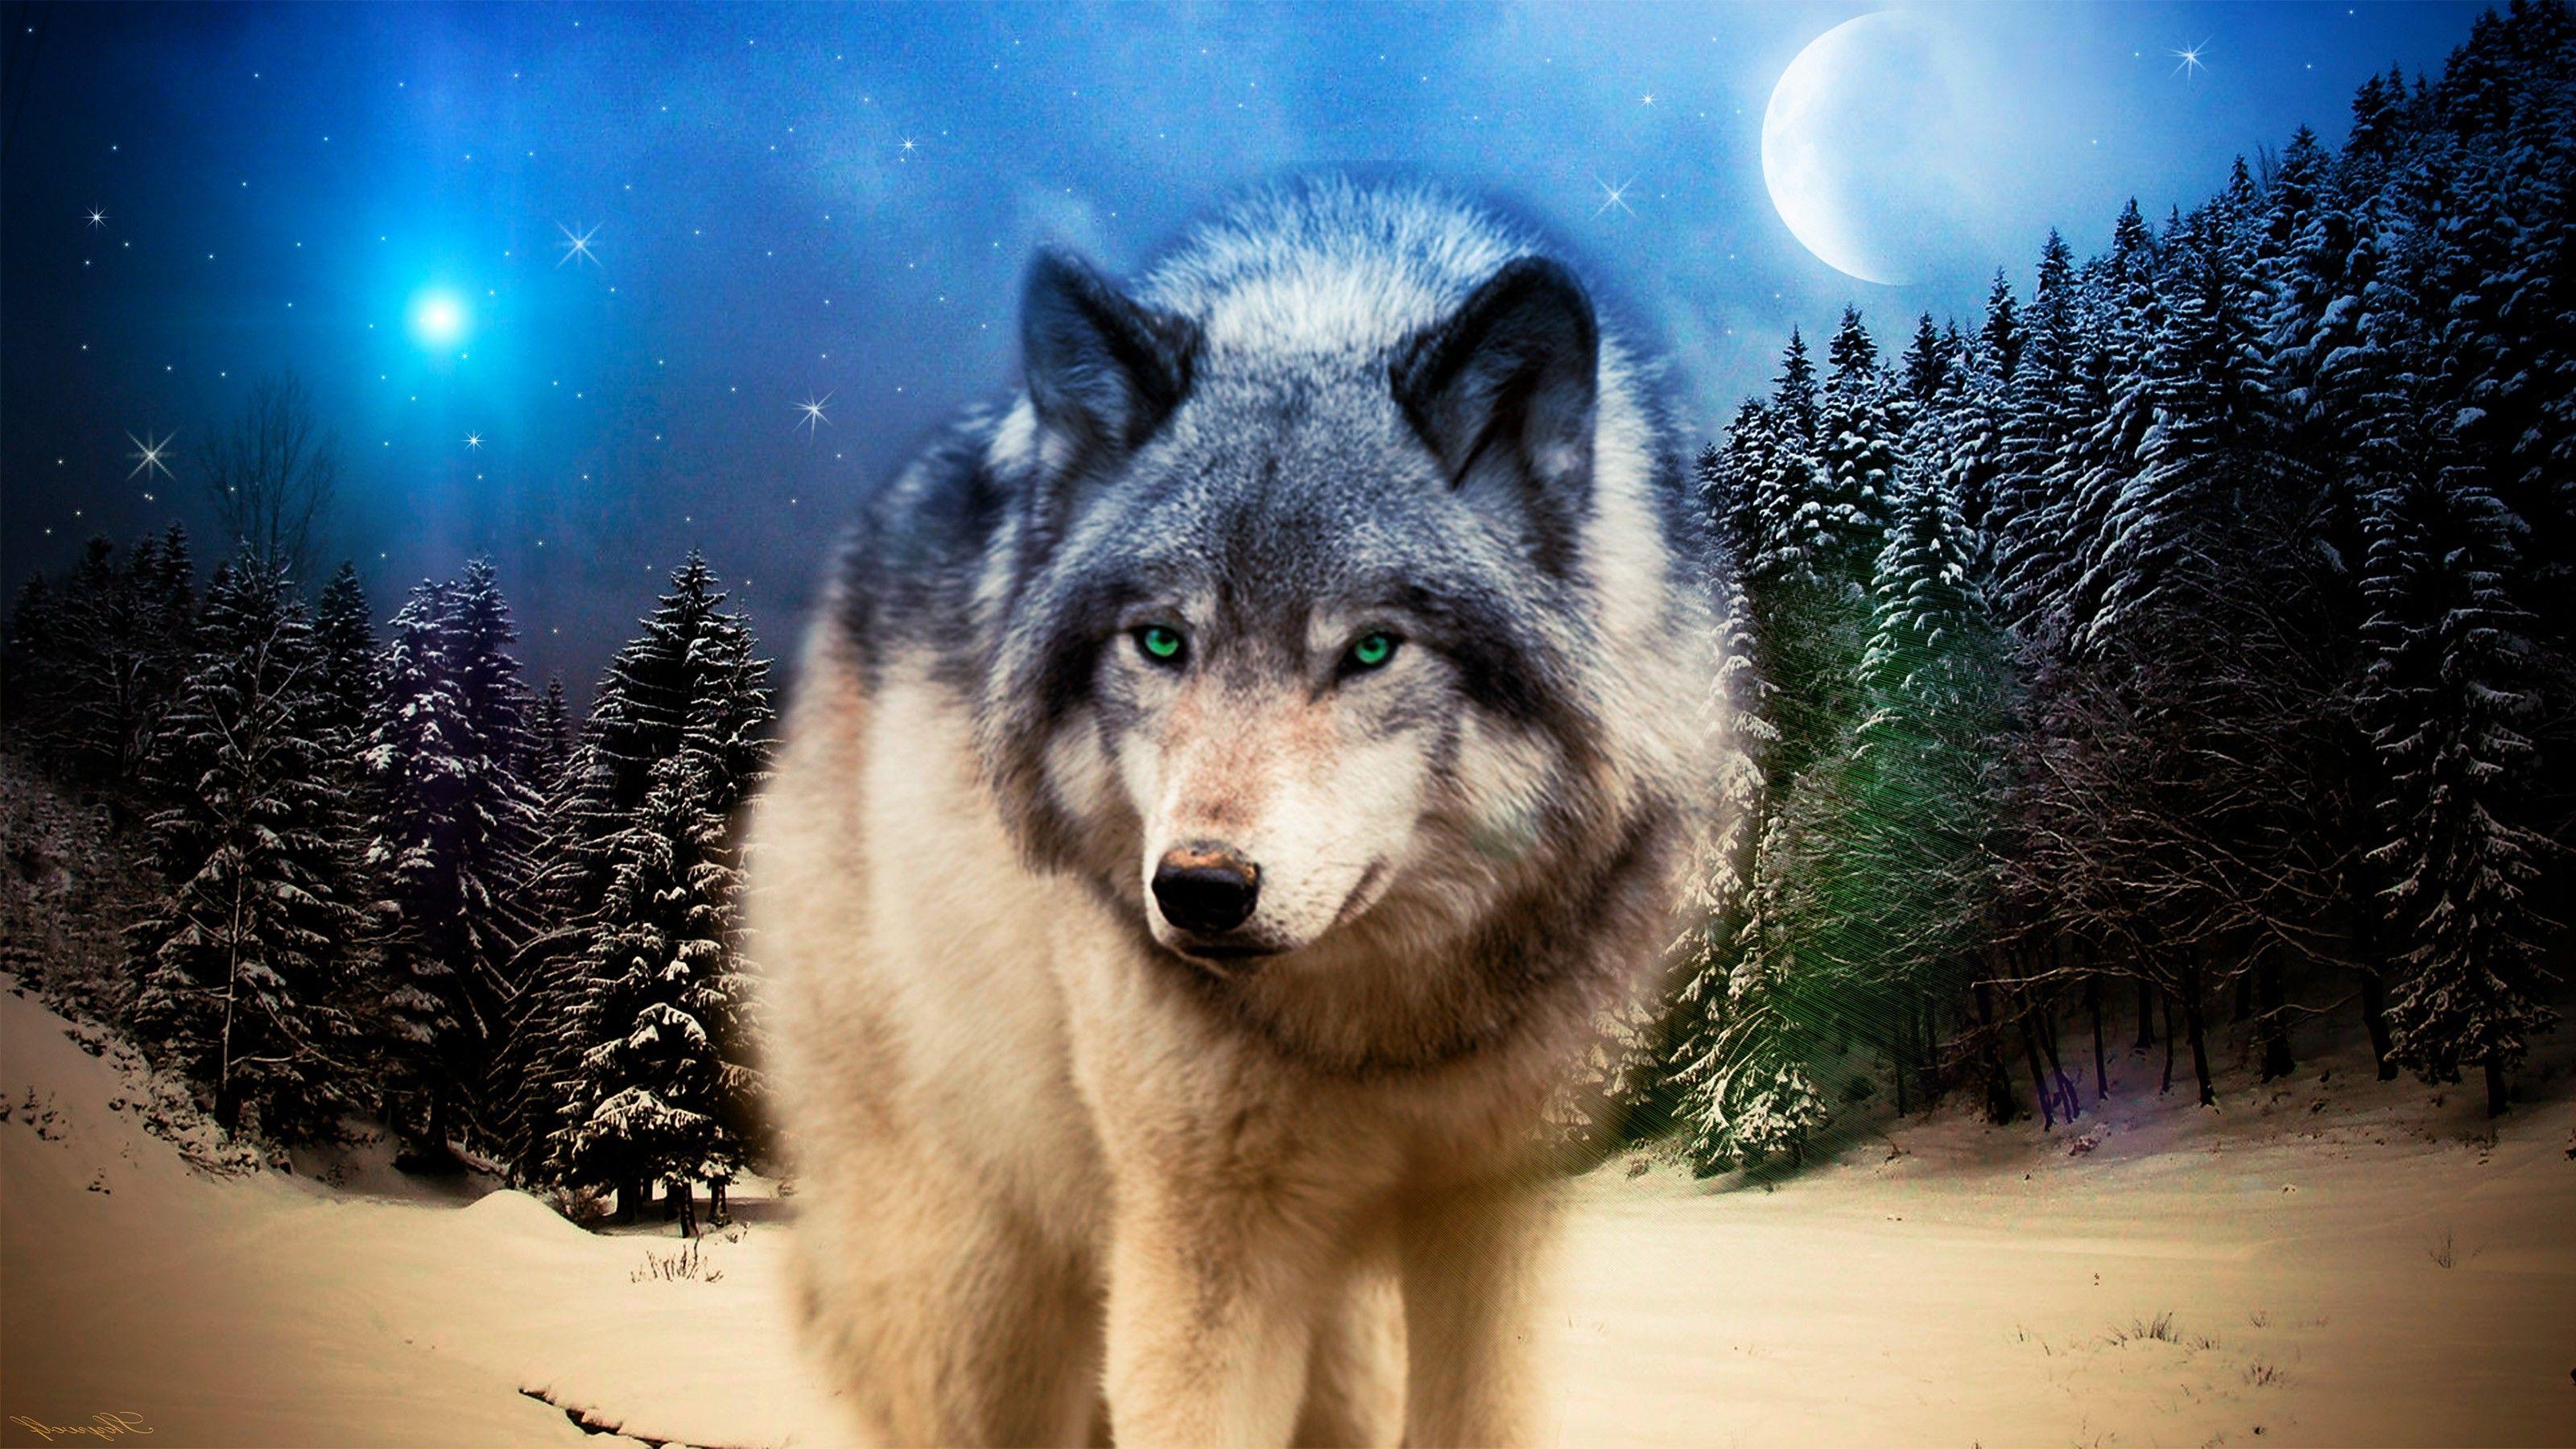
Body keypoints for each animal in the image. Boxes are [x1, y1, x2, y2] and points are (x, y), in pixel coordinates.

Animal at [750, 179, 1731, 1447]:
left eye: (1371, 649)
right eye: (1162, 641)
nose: (1200, 889)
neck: (1386, 1037)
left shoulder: (1502, 1210)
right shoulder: (1204, 1242)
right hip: (975, 1289)